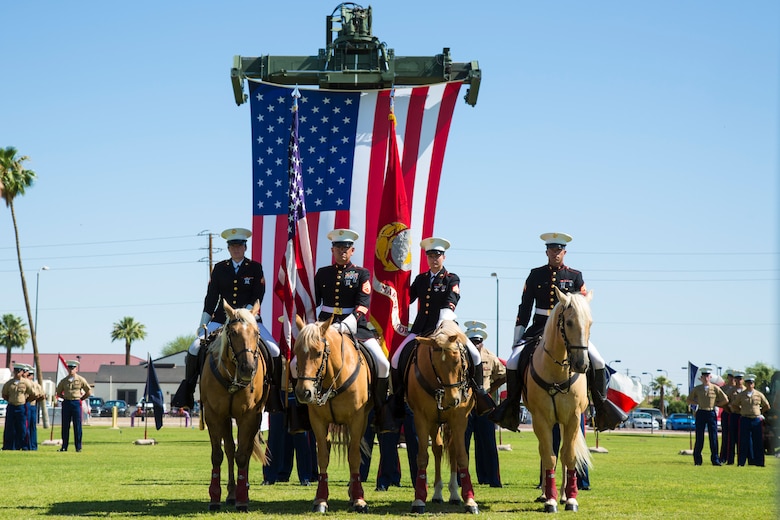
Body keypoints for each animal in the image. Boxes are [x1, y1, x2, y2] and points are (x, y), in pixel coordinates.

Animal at [201, 300, 268, 512]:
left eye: (256, 332)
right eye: (233, 332)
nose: (248, 369)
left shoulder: (249, 416)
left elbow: (242, 456)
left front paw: (242, 498)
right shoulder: (214, 415)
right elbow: (218, 455)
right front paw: (215, 497)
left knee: (243, 451)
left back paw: (240, 489)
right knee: (230, 449)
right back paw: (230, 494)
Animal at [296, 314, 374, 512]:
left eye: (318, 352)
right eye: (296, 352)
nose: (303, 393)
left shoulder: (357, 420)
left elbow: (354, 456)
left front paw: (359, 499)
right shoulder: (318, 421)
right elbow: (323, 457)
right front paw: (321, 499)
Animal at [406, 318, 478, 512]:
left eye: (459, 361)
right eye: (435, 364)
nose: (453, 400)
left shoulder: (460, 419)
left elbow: (462, 456)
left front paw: (470, 500)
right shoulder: (421, 418)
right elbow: (422, 457)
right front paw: (419, 499)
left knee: (452, 450)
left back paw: (454, 494)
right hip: (434, 422)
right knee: (438, 449)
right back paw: (438, 493)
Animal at [528, 286, 596, 512]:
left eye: (590, 323)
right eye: (569, 322)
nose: (581, 364)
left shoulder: (573, 418)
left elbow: (569, 456)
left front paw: (571, 498)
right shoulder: (540, 419)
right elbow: (548, 455)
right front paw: (550, 499)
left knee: (565, 452)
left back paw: (565, 495)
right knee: (546, 451)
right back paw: (545, 494)